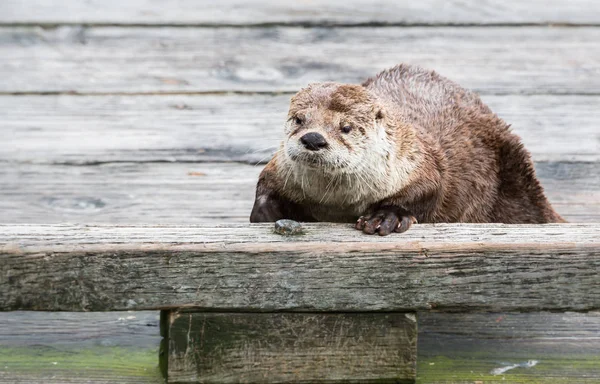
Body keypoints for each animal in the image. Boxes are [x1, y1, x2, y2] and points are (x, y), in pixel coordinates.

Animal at [247, 63, 564, 234]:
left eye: (345, 127)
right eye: (299, 119)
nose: (313, 138)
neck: (336, 203)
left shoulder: (419, 160)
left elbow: (431, 188)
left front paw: (385, 217)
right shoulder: (278, 169)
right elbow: (264, 186)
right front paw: (266, 211)